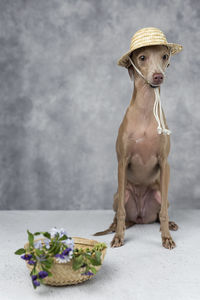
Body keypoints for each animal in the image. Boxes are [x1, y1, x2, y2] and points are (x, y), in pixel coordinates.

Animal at [94, 27, 182, 248]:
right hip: (119, 195)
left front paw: (166, 237)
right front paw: (118, 237)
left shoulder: (164, 163)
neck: (145, 110)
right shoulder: (122, 162)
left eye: (164, 56)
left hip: (160, 193)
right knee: (121, 214)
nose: (158, 76)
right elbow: (121, 213)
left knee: (160, 213)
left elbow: (164, 213)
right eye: (142, 57)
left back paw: (169, 224)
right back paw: (116, 227)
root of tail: (140, 218)